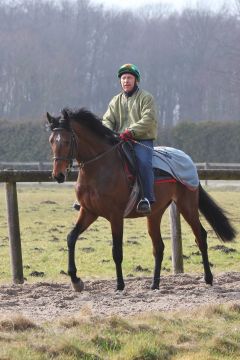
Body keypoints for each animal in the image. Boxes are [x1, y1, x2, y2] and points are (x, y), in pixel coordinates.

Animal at [47, 107, 236, 292]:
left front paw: (120, 285)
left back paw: (208, 278)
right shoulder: (89, 212)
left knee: (201, 236)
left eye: (66, 141)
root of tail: (187, 159)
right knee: (159, 247)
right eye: (51, 141)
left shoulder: (115, 216)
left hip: (187, 205)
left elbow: (117, 251)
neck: (100, 167)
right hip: (155, 213)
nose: (58, 175)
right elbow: (71, 238)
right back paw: (155, 284)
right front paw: (76, 280)